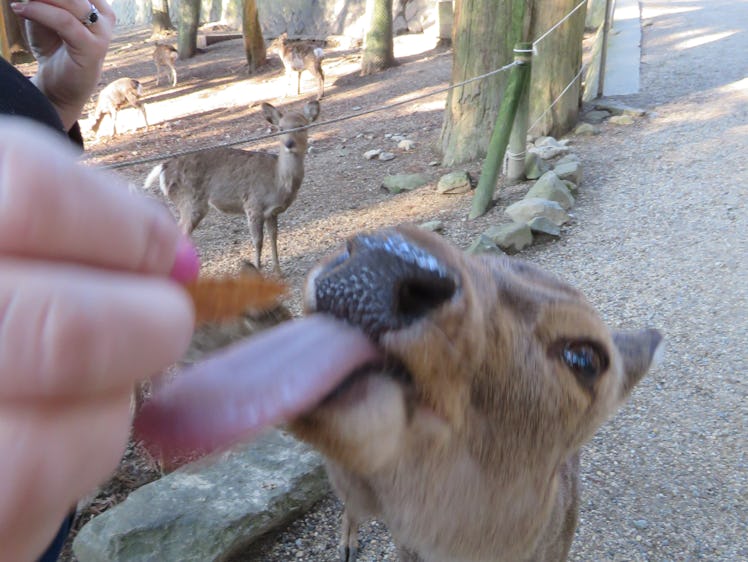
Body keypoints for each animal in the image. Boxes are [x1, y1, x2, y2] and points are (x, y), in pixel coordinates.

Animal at [145, 100, 320, 276]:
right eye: (281, 128)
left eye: (302, 125)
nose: (289, 144)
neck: (278, 180)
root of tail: (163, 168)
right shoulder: (253, 205)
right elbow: (258, 241)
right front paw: (257, 270)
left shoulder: (272, 212)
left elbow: (274, 236)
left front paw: (278, 272)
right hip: (189, 201)